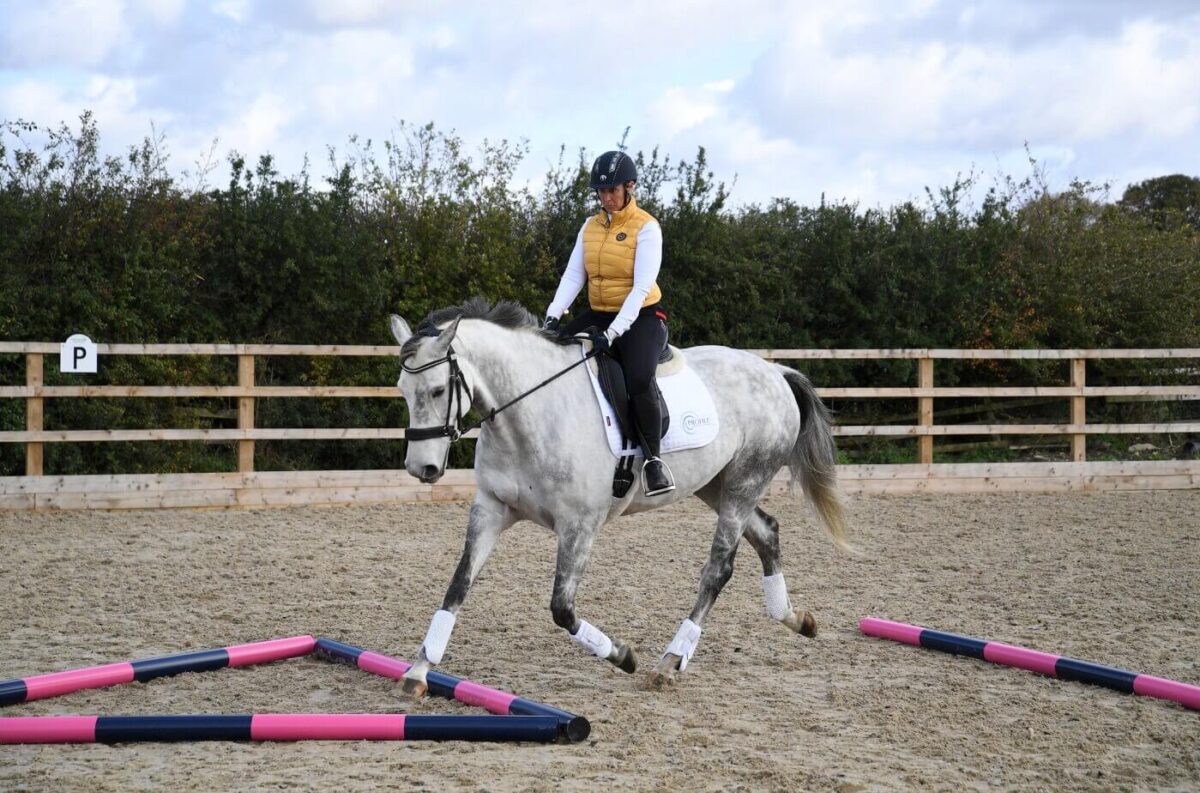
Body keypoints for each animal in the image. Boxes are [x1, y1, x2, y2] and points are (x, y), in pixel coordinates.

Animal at [389, 297, 848, 692]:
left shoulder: (579, 526)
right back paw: (795, 618)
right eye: (403, 391)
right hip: (715, 485)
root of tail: (775, 373)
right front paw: (419, 671)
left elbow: (562, 608)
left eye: (437, 390)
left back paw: (670, 662)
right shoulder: (491, 508)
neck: (531, 413)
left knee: (719, 569)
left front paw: (623, 657)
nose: (421, 469)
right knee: (766, 532)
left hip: (744, 482)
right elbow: (458, 585)